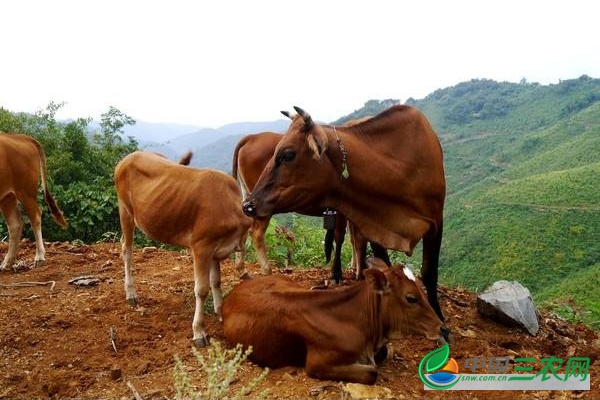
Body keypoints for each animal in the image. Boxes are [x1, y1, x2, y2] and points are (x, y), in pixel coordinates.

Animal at [0, 133, 68, 270]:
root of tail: (22, 137)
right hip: (7, 196)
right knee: (15, 223)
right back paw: (7, 263)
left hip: (26, 190)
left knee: (35, 216)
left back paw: (39, 257)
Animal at [241, 105, 448, 322]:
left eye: (287, 155)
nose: (248, 205)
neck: (398, 169)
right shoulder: (371, 224)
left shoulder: (436, 221)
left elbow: (429, 273)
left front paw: (438, 315)